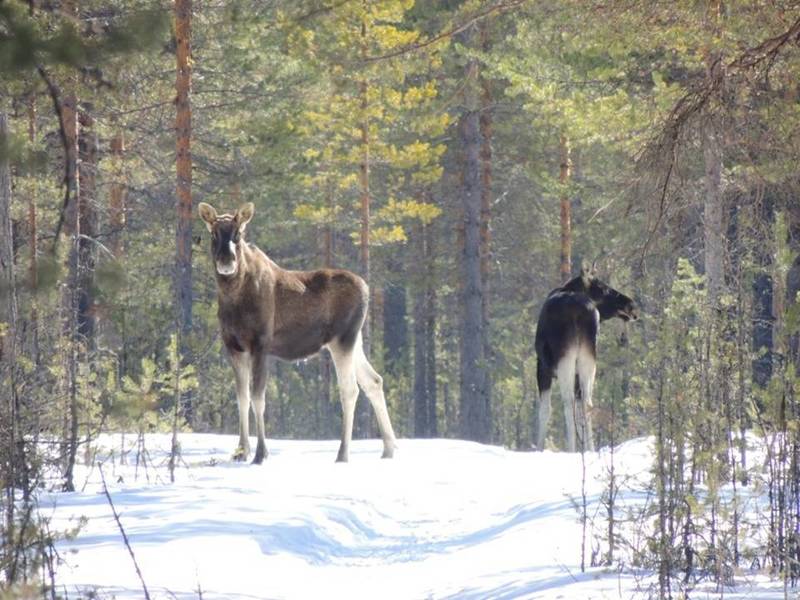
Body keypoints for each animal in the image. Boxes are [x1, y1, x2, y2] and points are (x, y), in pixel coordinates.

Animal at [198, 202, 396, 464]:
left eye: (238, 233)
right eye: (213, 233)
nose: (226, 260)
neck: (232, 297)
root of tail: (366, 288)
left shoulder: (260, 344)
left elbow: (258, 398)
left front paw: (260, 453)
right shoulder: (233, 346)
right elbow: (242, 398)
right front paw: (241, 451)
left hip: (342, 340)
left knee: (350, 390)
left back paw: (343, 453)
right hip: (356, 341)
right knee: (373, 380)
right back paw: (389, 448)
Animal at [536, 264, 640, 452]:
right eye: (604, 289)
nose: (632, 306)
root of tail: (579, 312)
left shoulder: (542, 366)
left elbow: (545, 410)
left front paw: (538, 447)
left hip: (566, 359)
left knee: (568, 402)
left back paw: (571, 448)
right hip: (588, 358)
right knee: (587, 403)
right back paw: (589, 449)